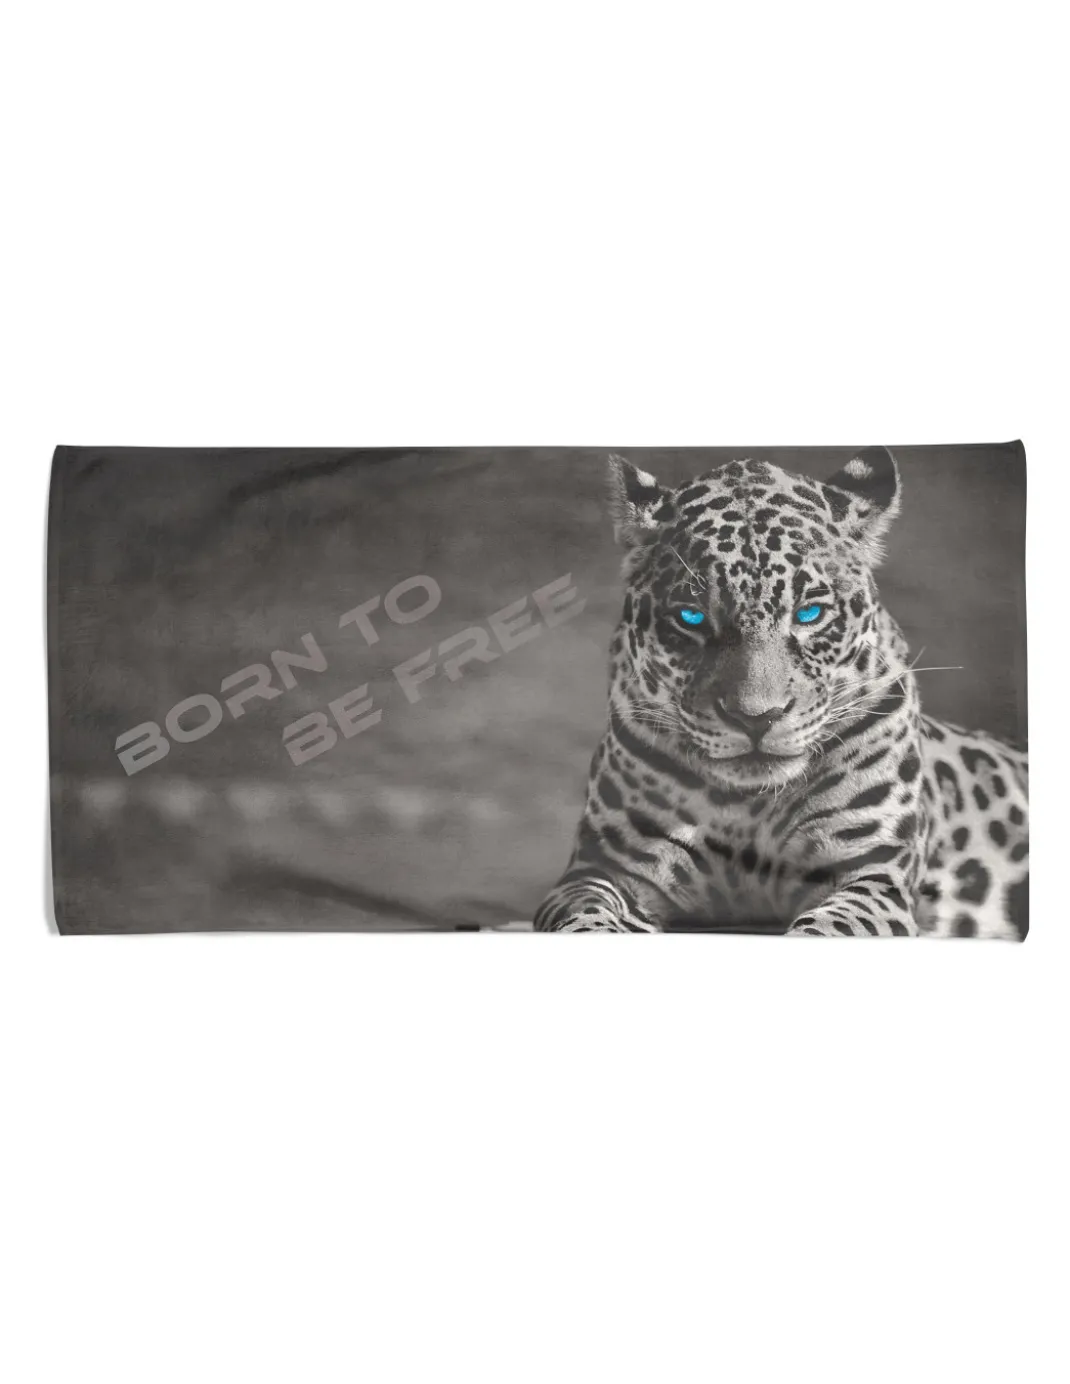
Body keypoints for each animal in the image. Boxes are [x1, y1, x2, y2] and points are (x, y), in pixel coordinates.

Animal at [534, 448, 1028, 937]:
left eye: (809, 613)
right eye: (691, 618)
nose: (756, 717)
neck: (748, 805)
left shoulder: (871, 873)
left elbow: (828, 928)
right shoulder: (601, 870)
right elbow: (585, 918)